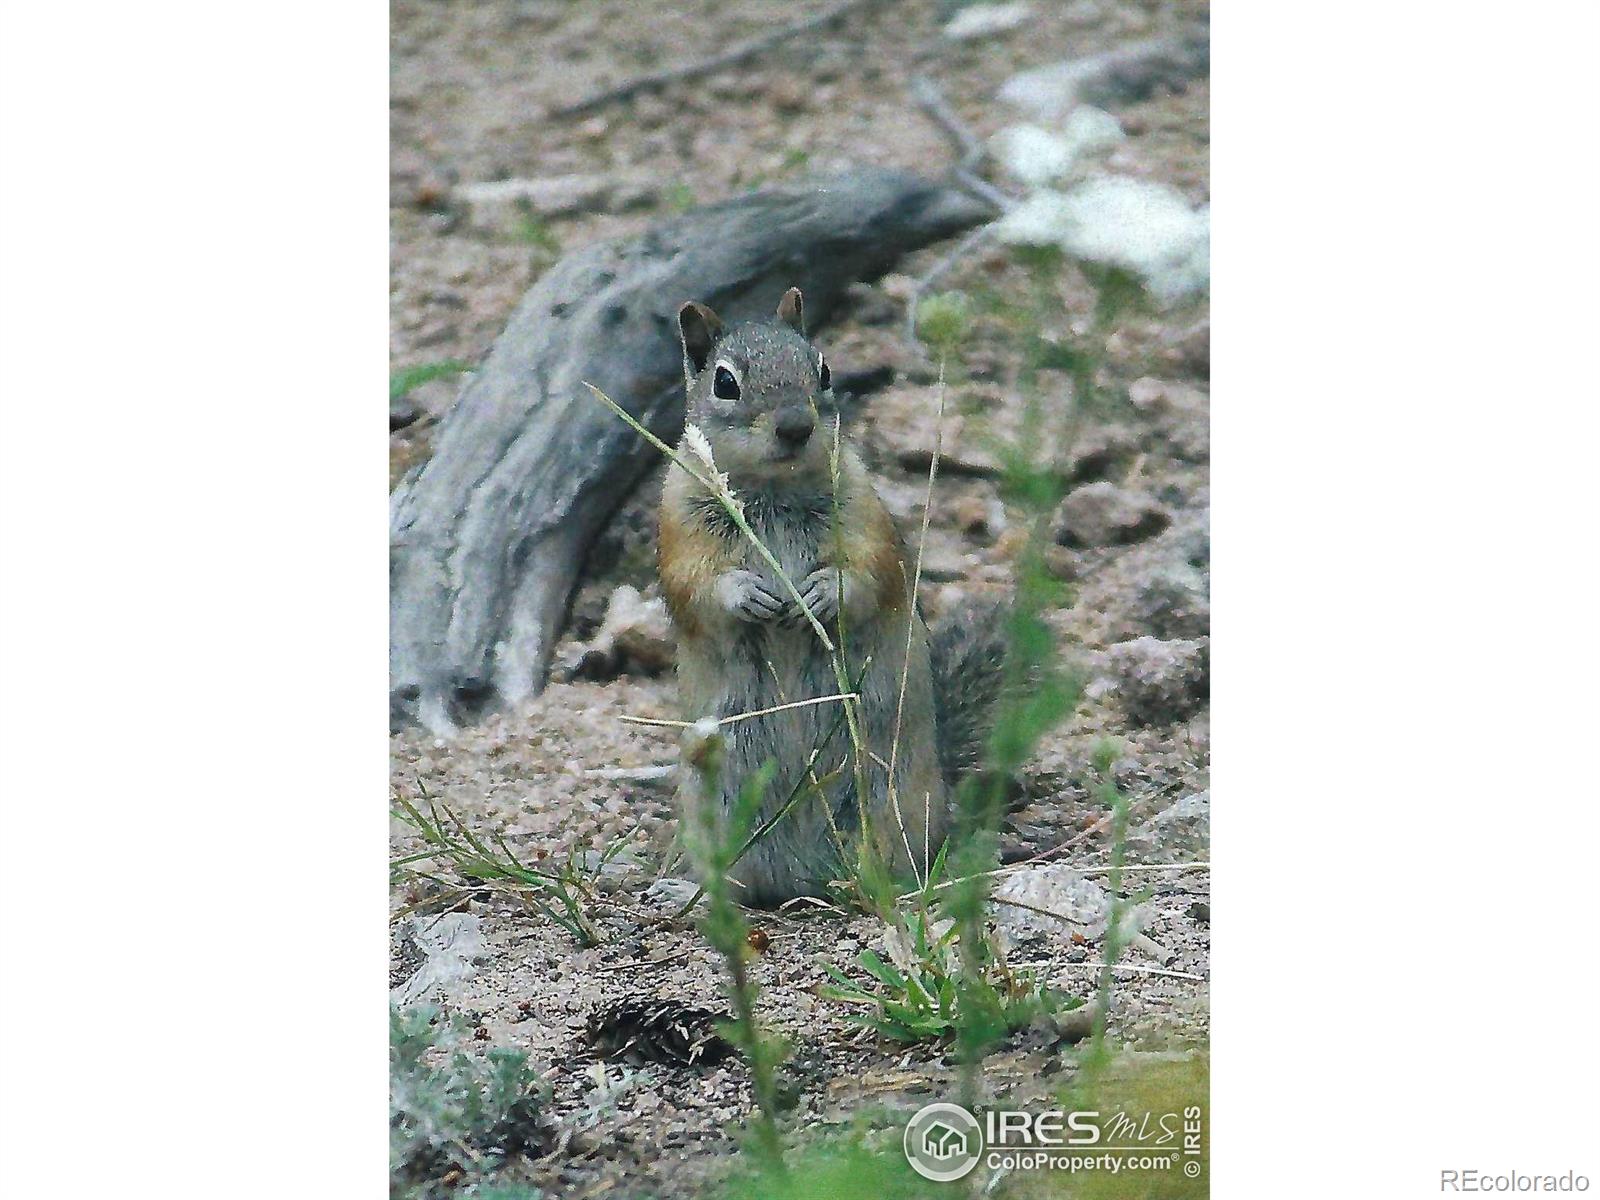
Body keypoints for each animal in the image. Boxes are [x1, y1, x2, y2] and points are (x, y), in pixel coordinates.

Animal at [652, 291, 998, 908]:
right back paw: (686, 892)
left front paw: (819, 593)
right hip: (719, 808)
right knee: (736, 885)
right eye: (724, 382)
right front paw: (749, 593)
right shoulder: (681, 527)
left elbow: (869, 571)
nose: (795, 426)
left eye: (825, 370)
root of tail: (801, 881)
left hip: (888, 804)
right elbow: (696, 584)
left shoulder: (865, 516)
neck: (773, 488)